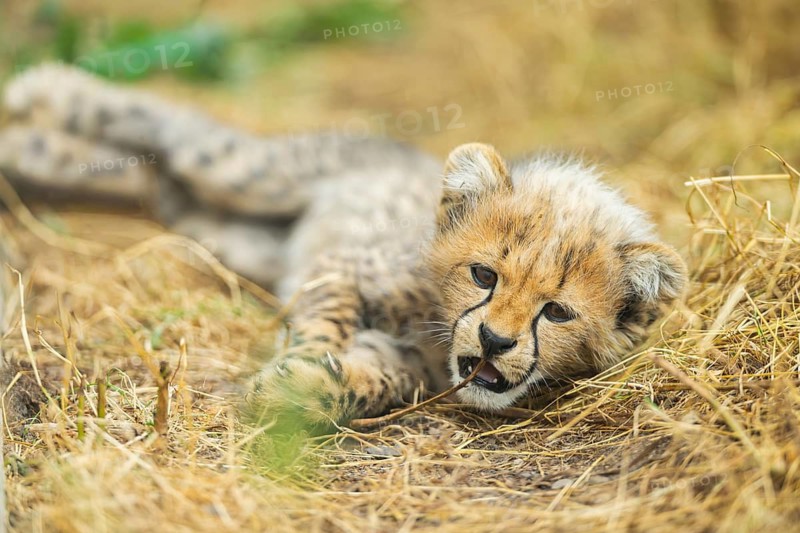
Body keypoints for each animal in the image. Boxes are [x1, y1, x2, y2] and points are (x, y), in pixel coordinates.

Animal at [0, 64, 687, 433]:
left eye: (558, 312)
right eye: (484, 275)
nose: (494, 341)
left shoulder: (408, 363)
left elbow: (370, 383)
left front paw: (306, 387)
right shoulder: (344, 264)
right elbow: (325, 318)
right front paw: (298, 362)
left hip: (230, 229)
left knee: (154, 180)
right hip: (251, 173)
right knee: (168, 128)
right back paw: (41, 98)